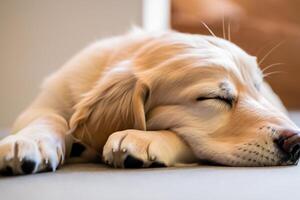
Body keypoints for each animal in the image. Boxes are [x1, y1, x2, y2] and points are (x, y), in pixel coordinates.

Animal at [0, 28, 300, 175]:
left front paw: (142, 138)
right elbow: (48, 116)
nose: (295, 142)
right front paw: (28, 141)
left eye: (258, 90)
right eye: (214, 97)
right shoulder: (51, 97)